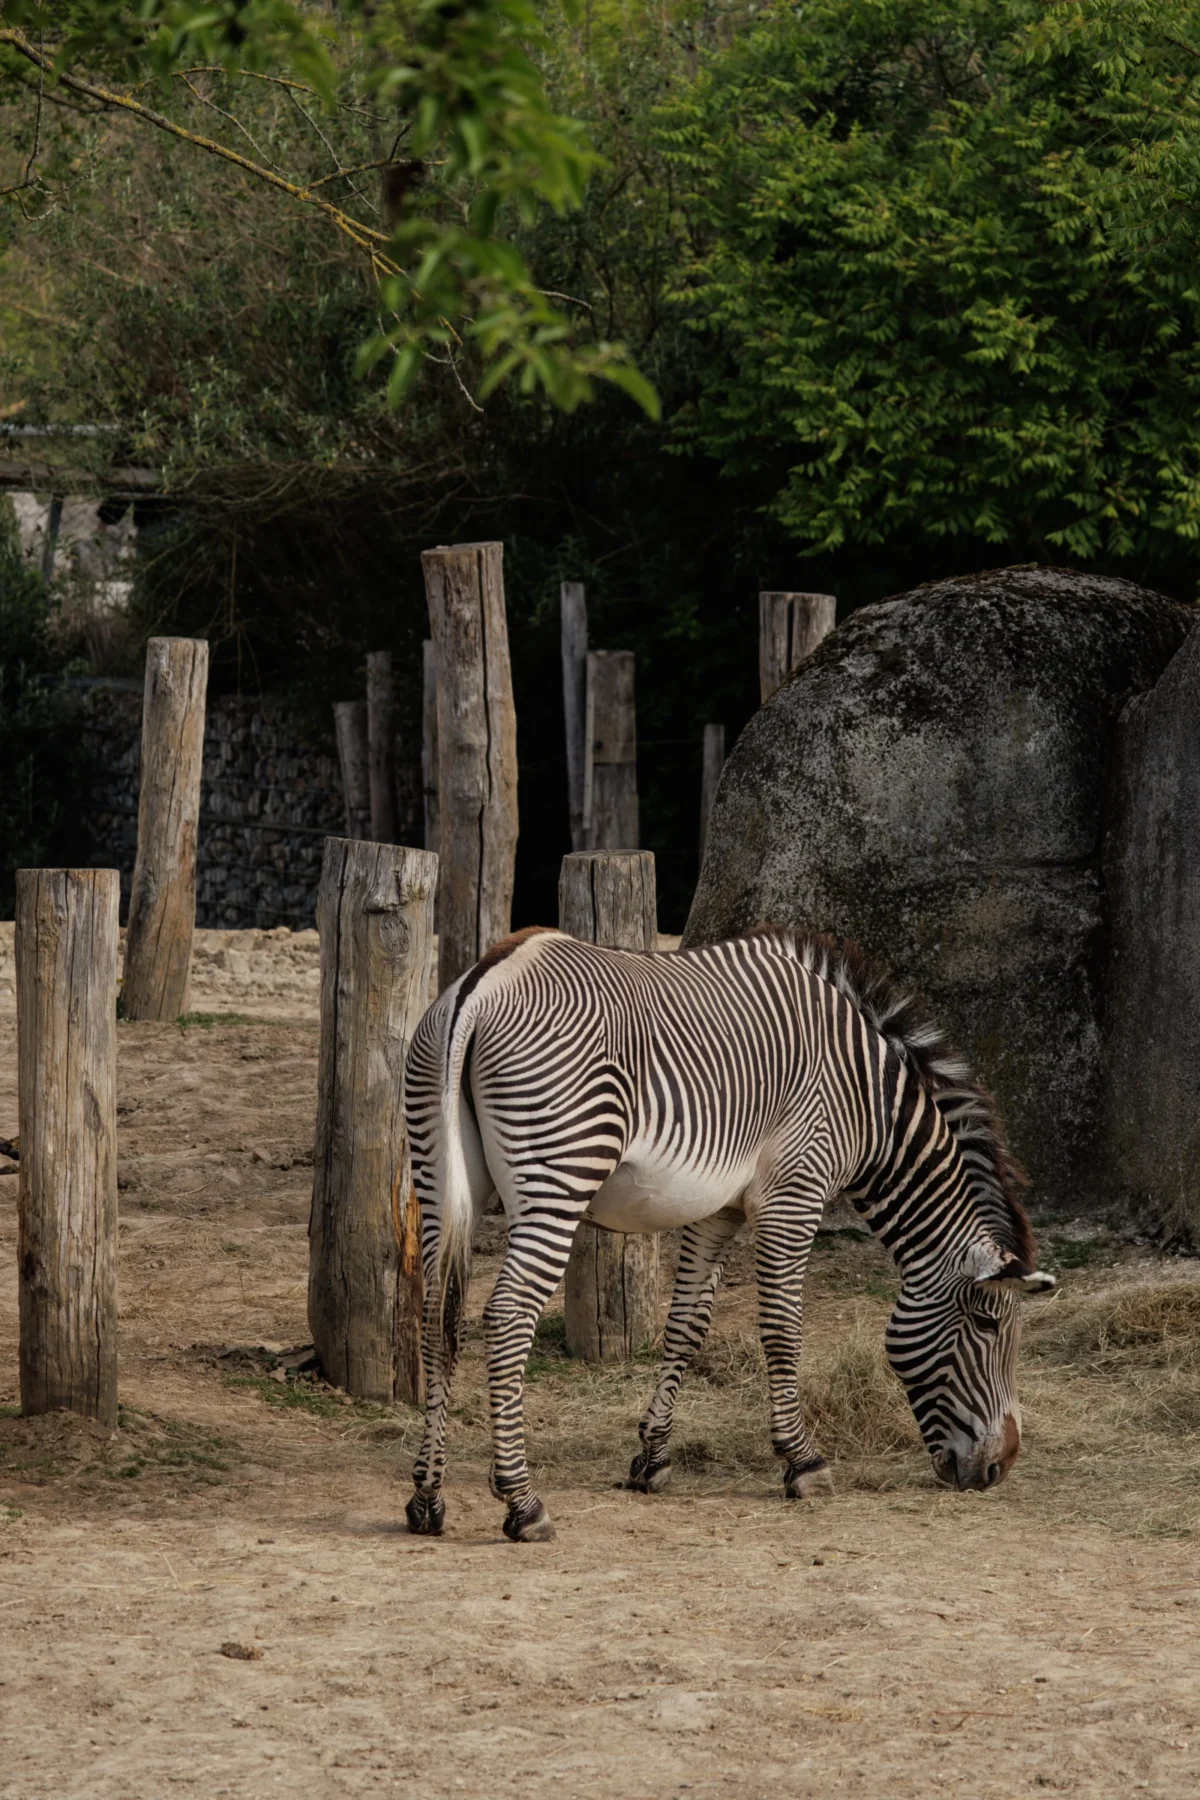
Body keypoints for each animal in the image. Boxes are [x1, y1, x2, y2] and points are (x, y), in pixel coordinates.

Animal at [403, 925, 1054, 1542]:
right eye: (989, 1323)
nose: (999, 1469)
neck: (866, 1098)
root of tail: (482, 983)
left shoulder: (718, 1209)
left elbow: (687, 1327)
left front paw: (652, 1458)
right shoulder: (795, 1192)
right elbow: (784, 1330)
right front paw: (802, 1463)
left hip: (437, 1173)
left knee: (434, 1315)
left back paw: (427, 1497)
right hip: (558, 1174)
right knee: (507, 1316)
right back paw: (523, 1503)